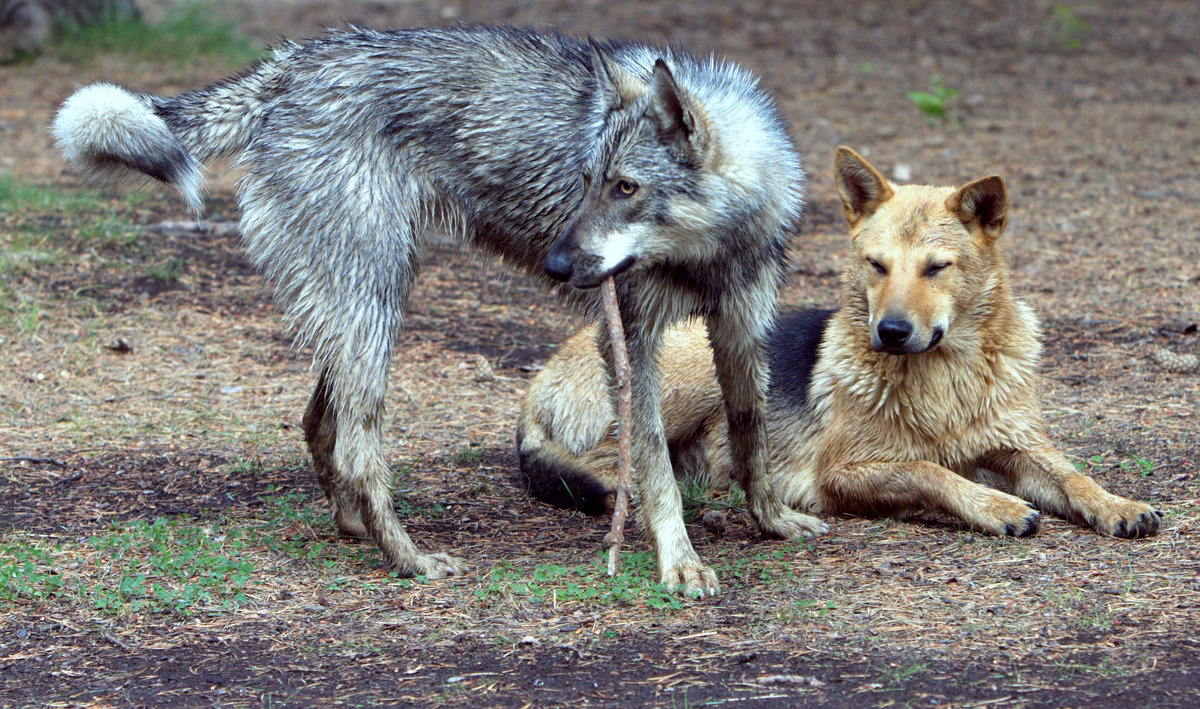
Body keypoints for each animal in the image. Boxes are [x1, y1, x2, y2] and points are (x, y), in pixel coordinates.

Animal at [49, 24, 825, 597]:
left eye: (625, 187)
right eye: (586, 181)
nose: (556, 266)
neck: (713, 244)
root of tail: (292, 65)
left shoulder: (742, 325)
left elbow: (751, 431)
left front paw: (770, 517)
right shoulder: (631, 343)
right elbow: (658, 464)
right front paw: (679, 560)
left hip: (362, 308)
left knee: (320, 423)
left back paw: (356, 528)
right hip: (376, 303)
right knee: (358, 448)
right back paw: (409, 560)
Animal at [523, 146, 1161, 539]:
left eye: (936, 269)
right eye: (876, 266)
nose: (892, 332)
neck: (945, 377)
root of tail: (539, 380)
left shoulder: (1017, 444)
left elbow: (1074, 476)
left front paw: (1120, 506)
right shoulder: (843, 471)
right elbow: (932, 472)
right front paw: (996, 505)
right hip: (697, 375)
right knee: (611, 466)